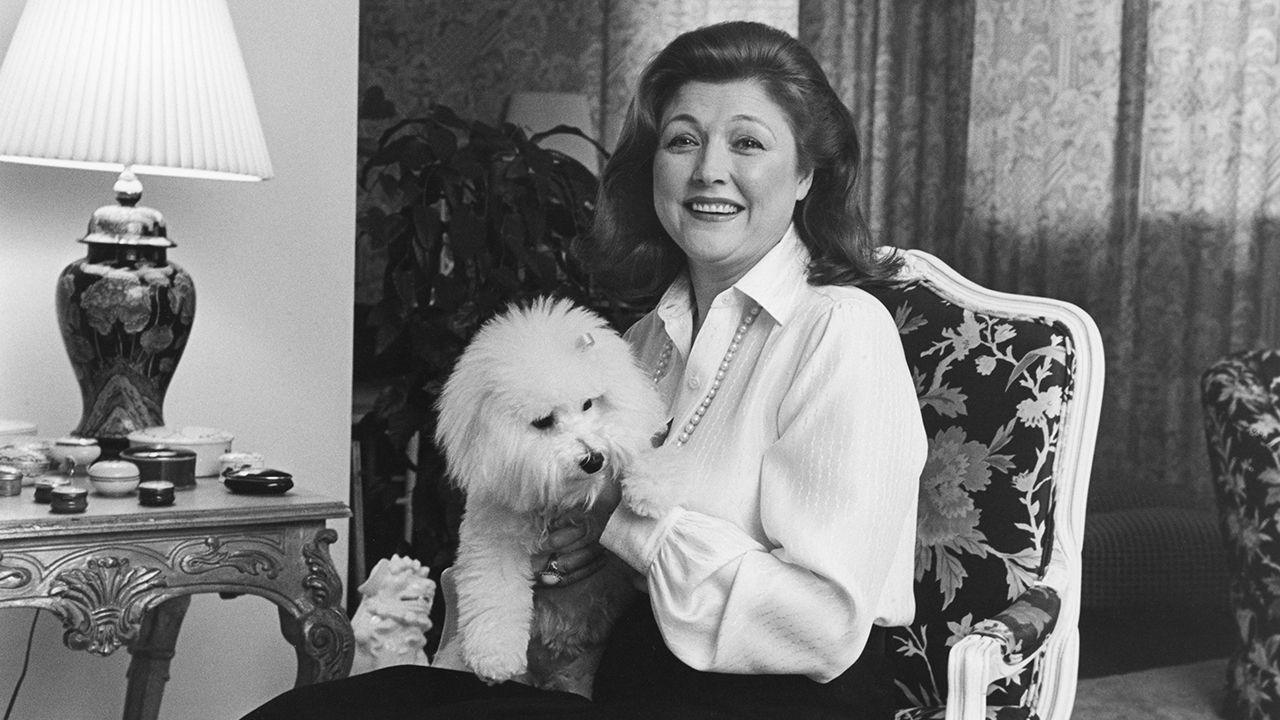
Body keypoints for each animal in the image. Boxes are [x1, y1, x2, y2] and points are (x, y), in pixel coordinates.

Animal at [432, 294, 665, 691]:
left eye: (589, 403)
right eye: (543, 422)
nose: (593, 459)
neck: (564, 501)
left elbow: (638, 455)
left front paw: (648, 491)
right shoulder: (492, 543)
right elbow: (494, 594)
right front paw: (494, 659)